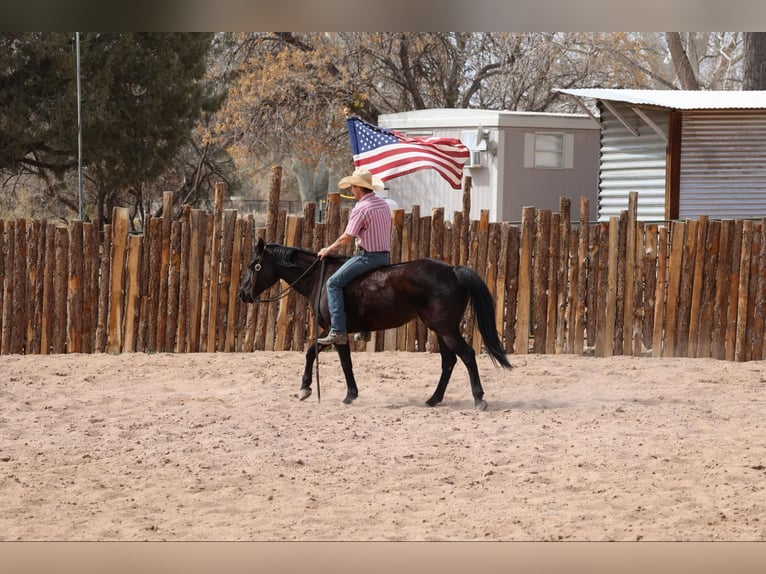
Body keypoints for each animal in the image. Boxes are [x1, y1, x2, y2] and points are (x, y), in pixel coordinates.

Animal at [238, 238, 513, 410]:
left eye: (254, 265)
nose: (242, 293)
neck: (321, 278)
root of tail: (454, 270)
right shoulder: (335, 332)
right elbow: (324, 355)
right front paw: (327, 391)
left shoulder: (335, 330)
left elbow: (330, 358)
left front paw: (318, 390)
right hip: (441, 330)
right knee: (449, 361)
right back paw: (433, 399)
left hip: (445, 329)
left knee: (466, 356)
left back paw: (478, 399)